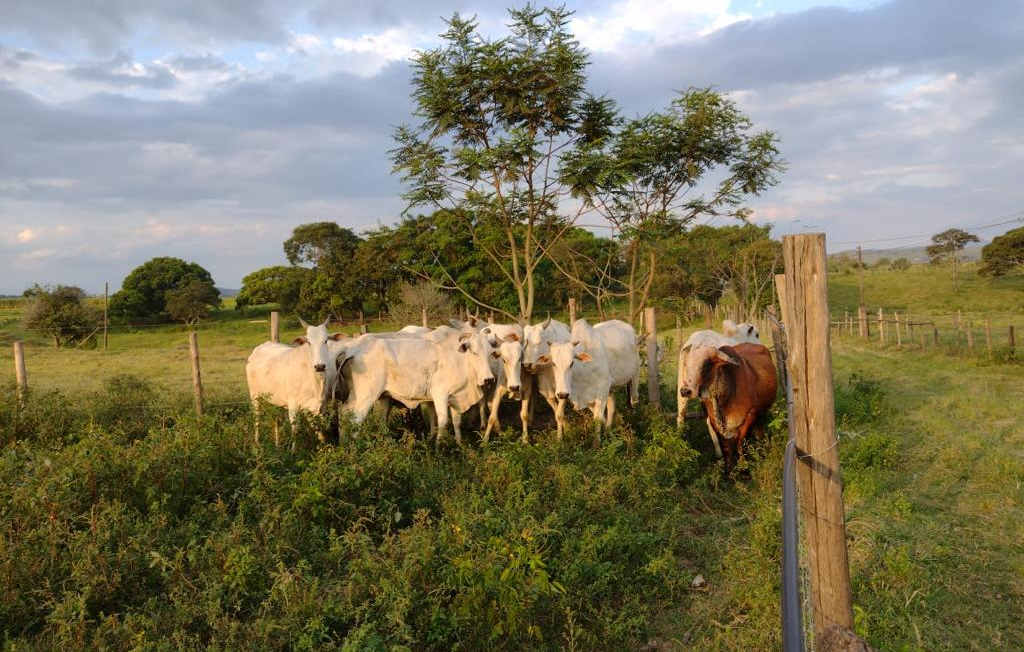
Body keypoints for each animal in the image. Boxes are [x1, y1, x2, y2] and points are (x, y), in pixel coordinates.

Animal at [679, 339, 774, 472]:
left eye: (705, 364)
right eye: (686, 364)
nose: (685, 391)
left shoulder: (749, 416)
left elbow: (740, 444)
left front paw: (744, 468)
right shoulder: (714, 421)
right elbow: (725, 447)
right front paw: (728, 468)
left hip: (762, 413)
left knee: (759, 430)